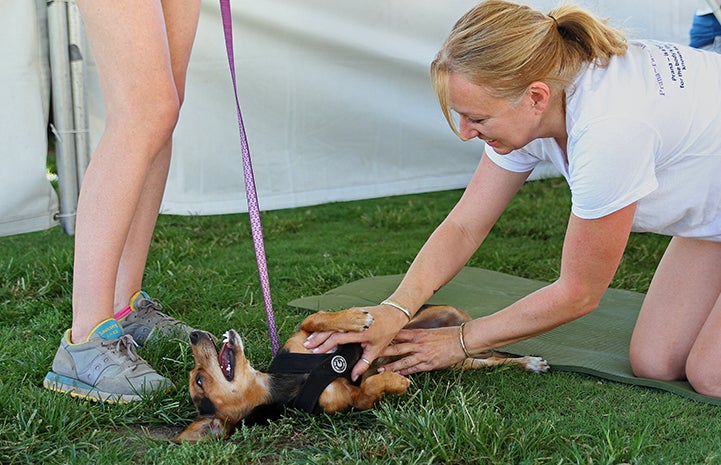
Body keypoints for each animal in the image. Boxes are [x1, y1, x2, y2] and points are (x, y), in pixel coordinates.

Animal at [174, 304, 544, 442]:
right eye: (199, 380)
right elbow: (370, 390)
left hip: (436, 317)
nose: (194, 336)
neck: (289, 380)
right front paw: (394, 379)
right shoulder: (349, 402)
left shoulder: (306, 336)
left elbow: (317, 319)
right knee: (490, 358)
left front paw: (353, 319)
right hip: (458, 359)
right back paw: (528, 362)